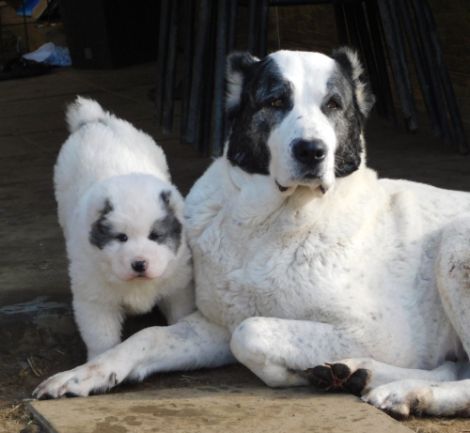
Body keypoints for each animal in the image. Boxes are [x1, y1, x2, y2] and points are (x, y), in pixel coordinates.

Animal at [53, 97, 195, 358]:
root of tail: (94, 121)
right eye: (121, 237)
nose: (139, 264)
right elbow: (102, 338)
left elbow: (180, 314)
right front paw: (101, 360)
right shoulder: (94, 299)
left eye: (155, 235)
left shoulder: (178, 285)